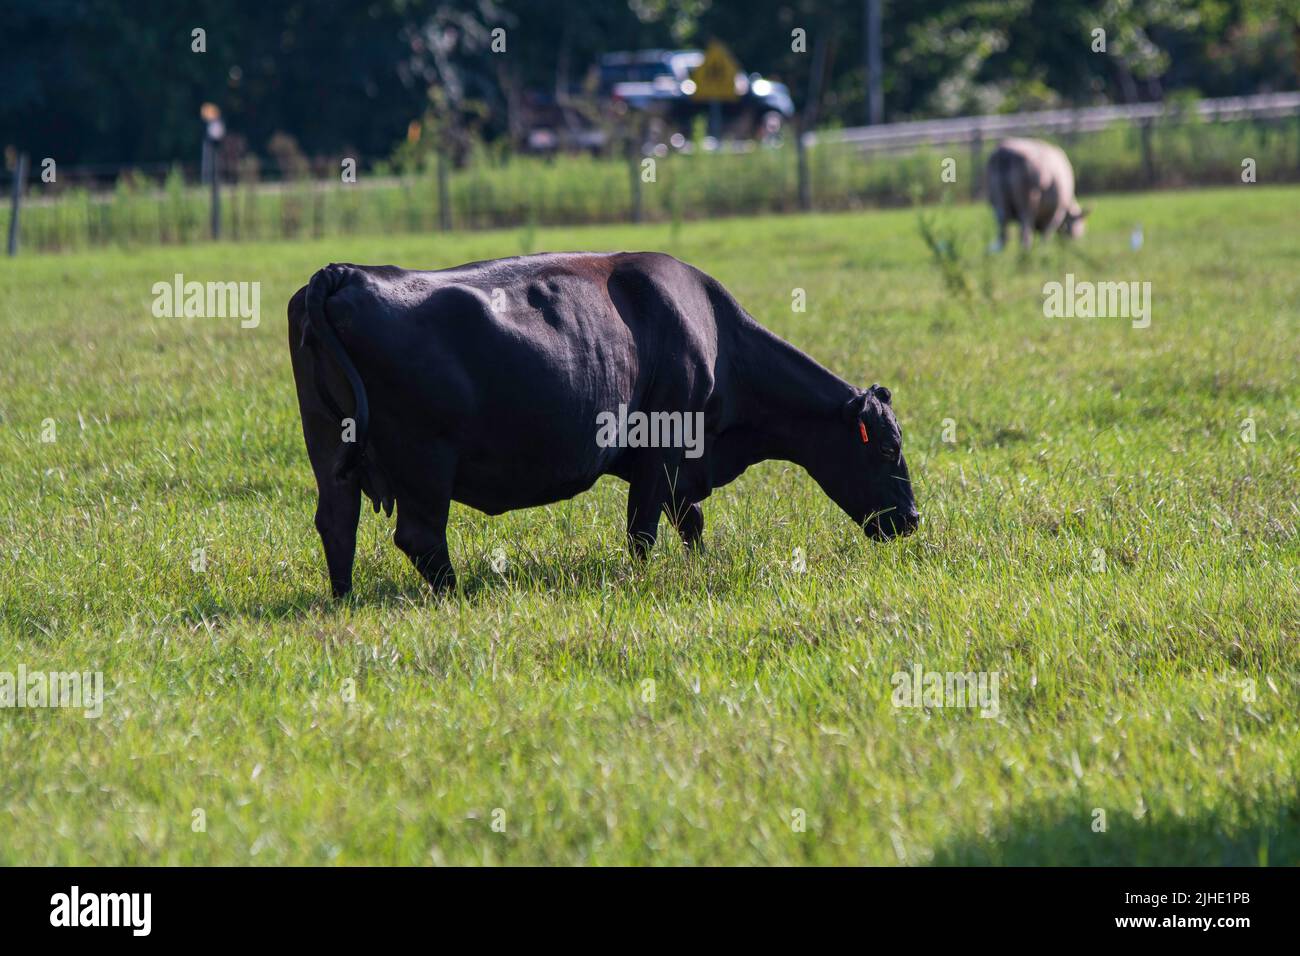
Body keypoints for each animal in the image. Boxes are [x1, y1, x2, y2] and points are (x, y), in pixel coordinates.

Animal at [289, 254, 920, 598]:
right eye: (887, 448)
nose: (913, 520)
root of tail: (343, 274)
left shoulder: (677, 464)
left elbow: (689, 520)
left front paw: (698, 565)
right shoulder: (663, 445)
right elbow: (644, 528)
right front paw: (643, 578)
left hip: (329, 451)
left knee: (337, 524)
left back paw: (344, 599)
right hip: (426, 461)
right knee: (420, 536)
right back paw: (457, 594)